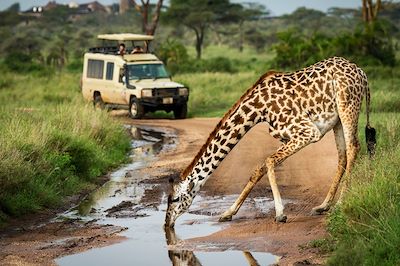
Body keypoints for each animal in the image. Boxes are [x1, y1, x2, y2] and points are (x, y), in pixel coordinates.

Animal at [164, 56, 376, 227]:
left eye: (174, 199)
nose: (167, 223)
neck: (258, 109)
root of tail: (362, 73)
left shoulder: (307, 131)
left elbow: (268, 161)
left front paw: (280, 214)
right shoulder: (288, 135)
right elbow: (260, 168)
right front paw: (227, 213)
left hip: (347, 106)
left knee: (353, 147)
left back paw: (339, 204)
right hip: (337, 119)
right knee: (342, 156)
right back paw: (323, 206)